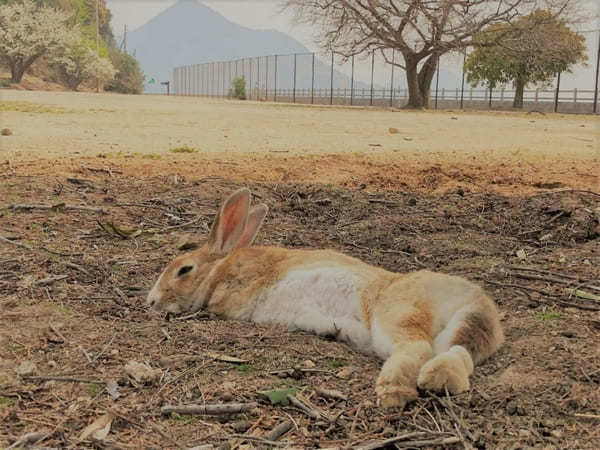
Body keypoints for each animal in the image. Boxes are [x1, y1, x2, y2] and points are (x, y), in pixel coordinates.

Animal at [148, 186, 504, 408]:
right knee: (458, 353)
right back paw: (439, 379)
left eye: (183, 270)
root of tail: (472, 300)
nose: (151, 301)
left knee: (417, 347)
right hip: (449, 331)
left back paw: (393, 391)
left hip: (394, 312)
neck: (219, 269)